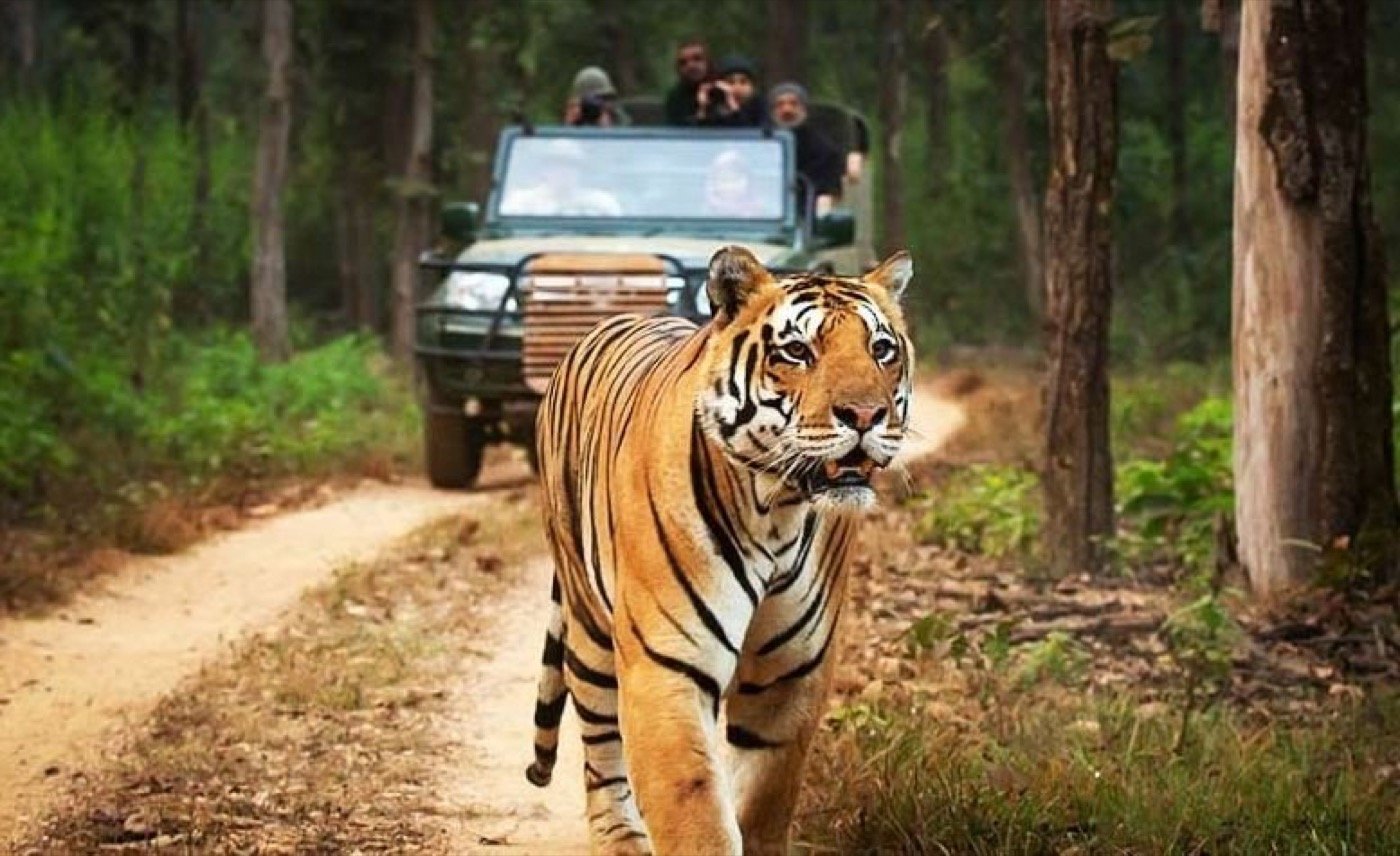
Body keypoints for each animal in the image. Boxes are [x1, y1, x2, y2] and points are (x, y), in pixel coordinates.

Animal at [526, 245, 914, 855]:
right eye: (798, 351)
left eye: (881, 350)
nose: (865, 415)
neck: (777, 509)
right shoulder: (667, 665)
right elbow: (693, 810)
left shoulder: (789, 676)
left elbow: (761, 801)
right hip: (588, 627)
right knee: (601, 750)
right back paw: (620, 837)